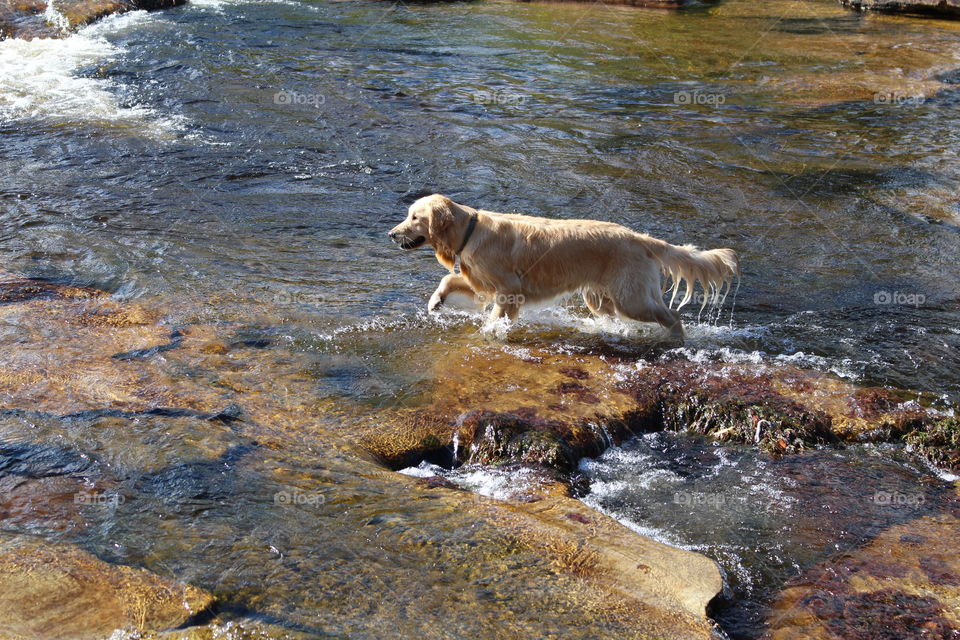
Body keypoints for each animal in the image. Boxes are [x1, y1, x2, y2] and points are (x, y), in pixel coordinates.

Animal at [386, 194, 740, 340]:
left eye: (414, 217)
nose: (391, 234)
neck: (471, 231)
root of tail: (641, 238)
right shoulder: (483, 285)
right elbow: (449, 279)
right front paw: (435, 302)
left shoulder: (508, 289)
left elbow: (495, 317)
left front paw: (489, 332)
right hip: (601, 298)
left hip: (632, 298)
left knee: (672, 316)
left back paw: (675, 339)